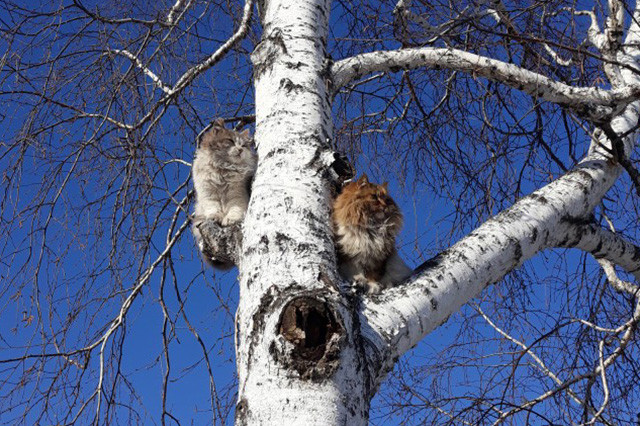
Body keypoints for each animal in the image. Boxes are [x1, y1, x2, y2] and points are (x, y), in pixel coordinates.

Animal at [192, 119, 257, 258]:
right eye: (230, 141)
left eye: (243, 145)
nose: (240, 149)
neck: (223, 169)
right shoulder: (209, 194)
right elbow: (213, 208)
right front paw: (215, 217)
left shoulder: (237, 193)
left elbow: (235, 209)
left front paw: (230, 220)